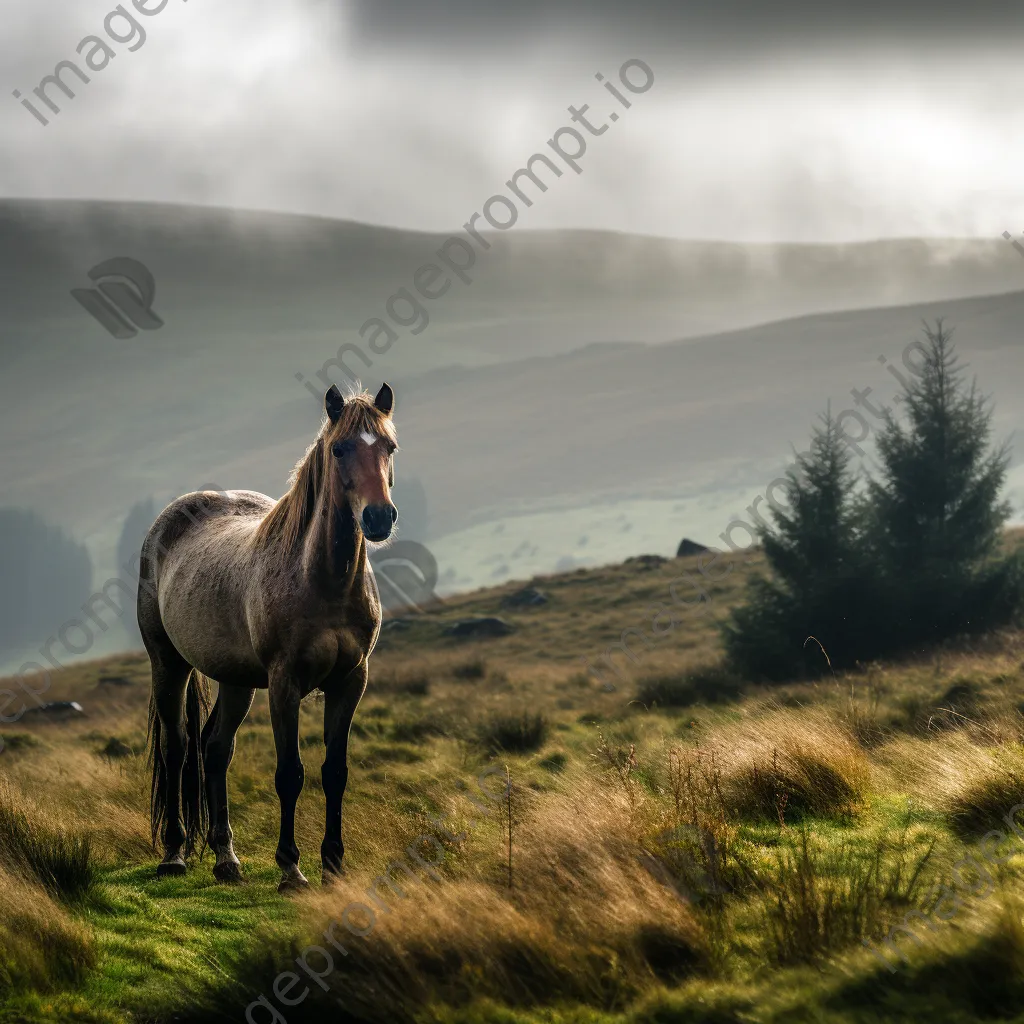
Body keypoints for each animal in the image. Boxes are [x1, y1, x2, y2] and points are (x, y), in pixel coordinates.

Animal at [142, 382, 397, 888]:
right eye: (339, 448)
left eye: (389, 447)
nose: (379, 518)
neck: (323, 581)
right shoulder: (284, 684)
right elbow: (290, 773)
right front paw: (291, 868)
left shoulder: (350, 681)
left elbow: (334, 772)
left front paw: (333, 866)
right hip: (168, 664)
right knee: (177, 748)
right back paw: (175, 854)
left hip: (235, 680)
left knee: (215, 749)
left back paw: (227, 859)